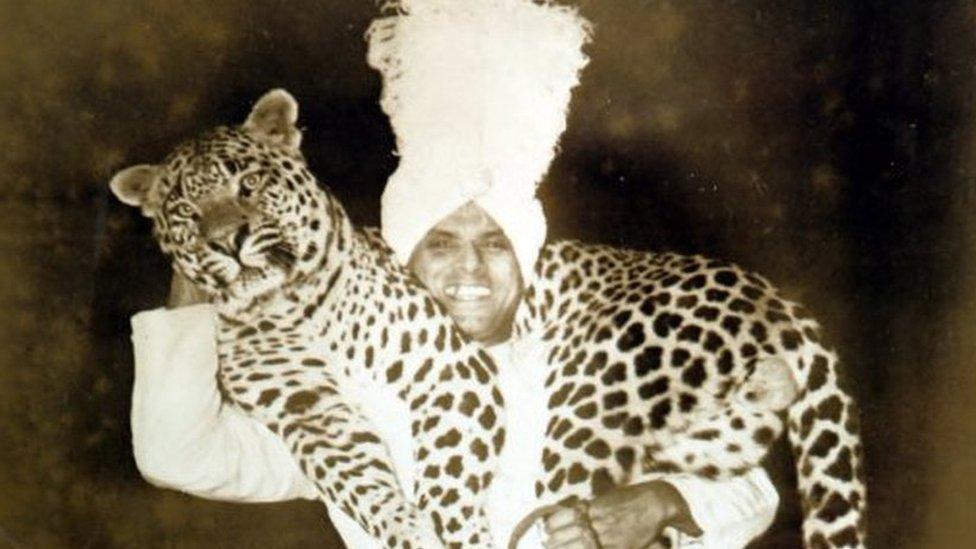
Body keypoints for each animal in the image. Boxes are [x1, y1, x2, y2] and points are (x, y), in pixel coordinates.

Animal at [110, 90, 508, 548]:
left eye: (249, 185)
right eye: (189, 213)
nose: (228, 241)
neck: (293, 304)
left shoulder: (445, 366)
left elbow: (449, 473)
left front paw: (461, 532)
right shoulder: (309, 411)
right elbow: (363, 483)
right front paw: (408, 531)